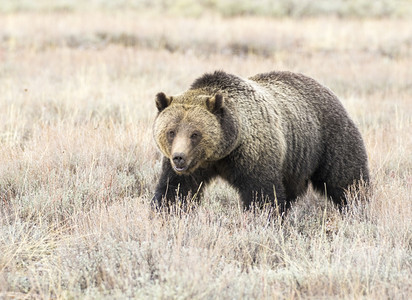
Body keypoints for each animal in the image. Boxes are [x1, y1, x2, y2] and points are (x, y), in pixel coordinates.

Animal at [152, 71, 370, 213]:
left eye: (195, 134)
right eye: (171, 132)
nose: (179, 157)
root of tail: (327, 89)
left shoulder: (253, 152)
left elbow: (262, 194)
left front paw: (262, 217)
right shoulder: (194, 166)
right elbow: (176, 190)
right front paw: (167, 211)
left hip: (329, 139)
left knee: (346, 178)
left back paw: (358, 205)